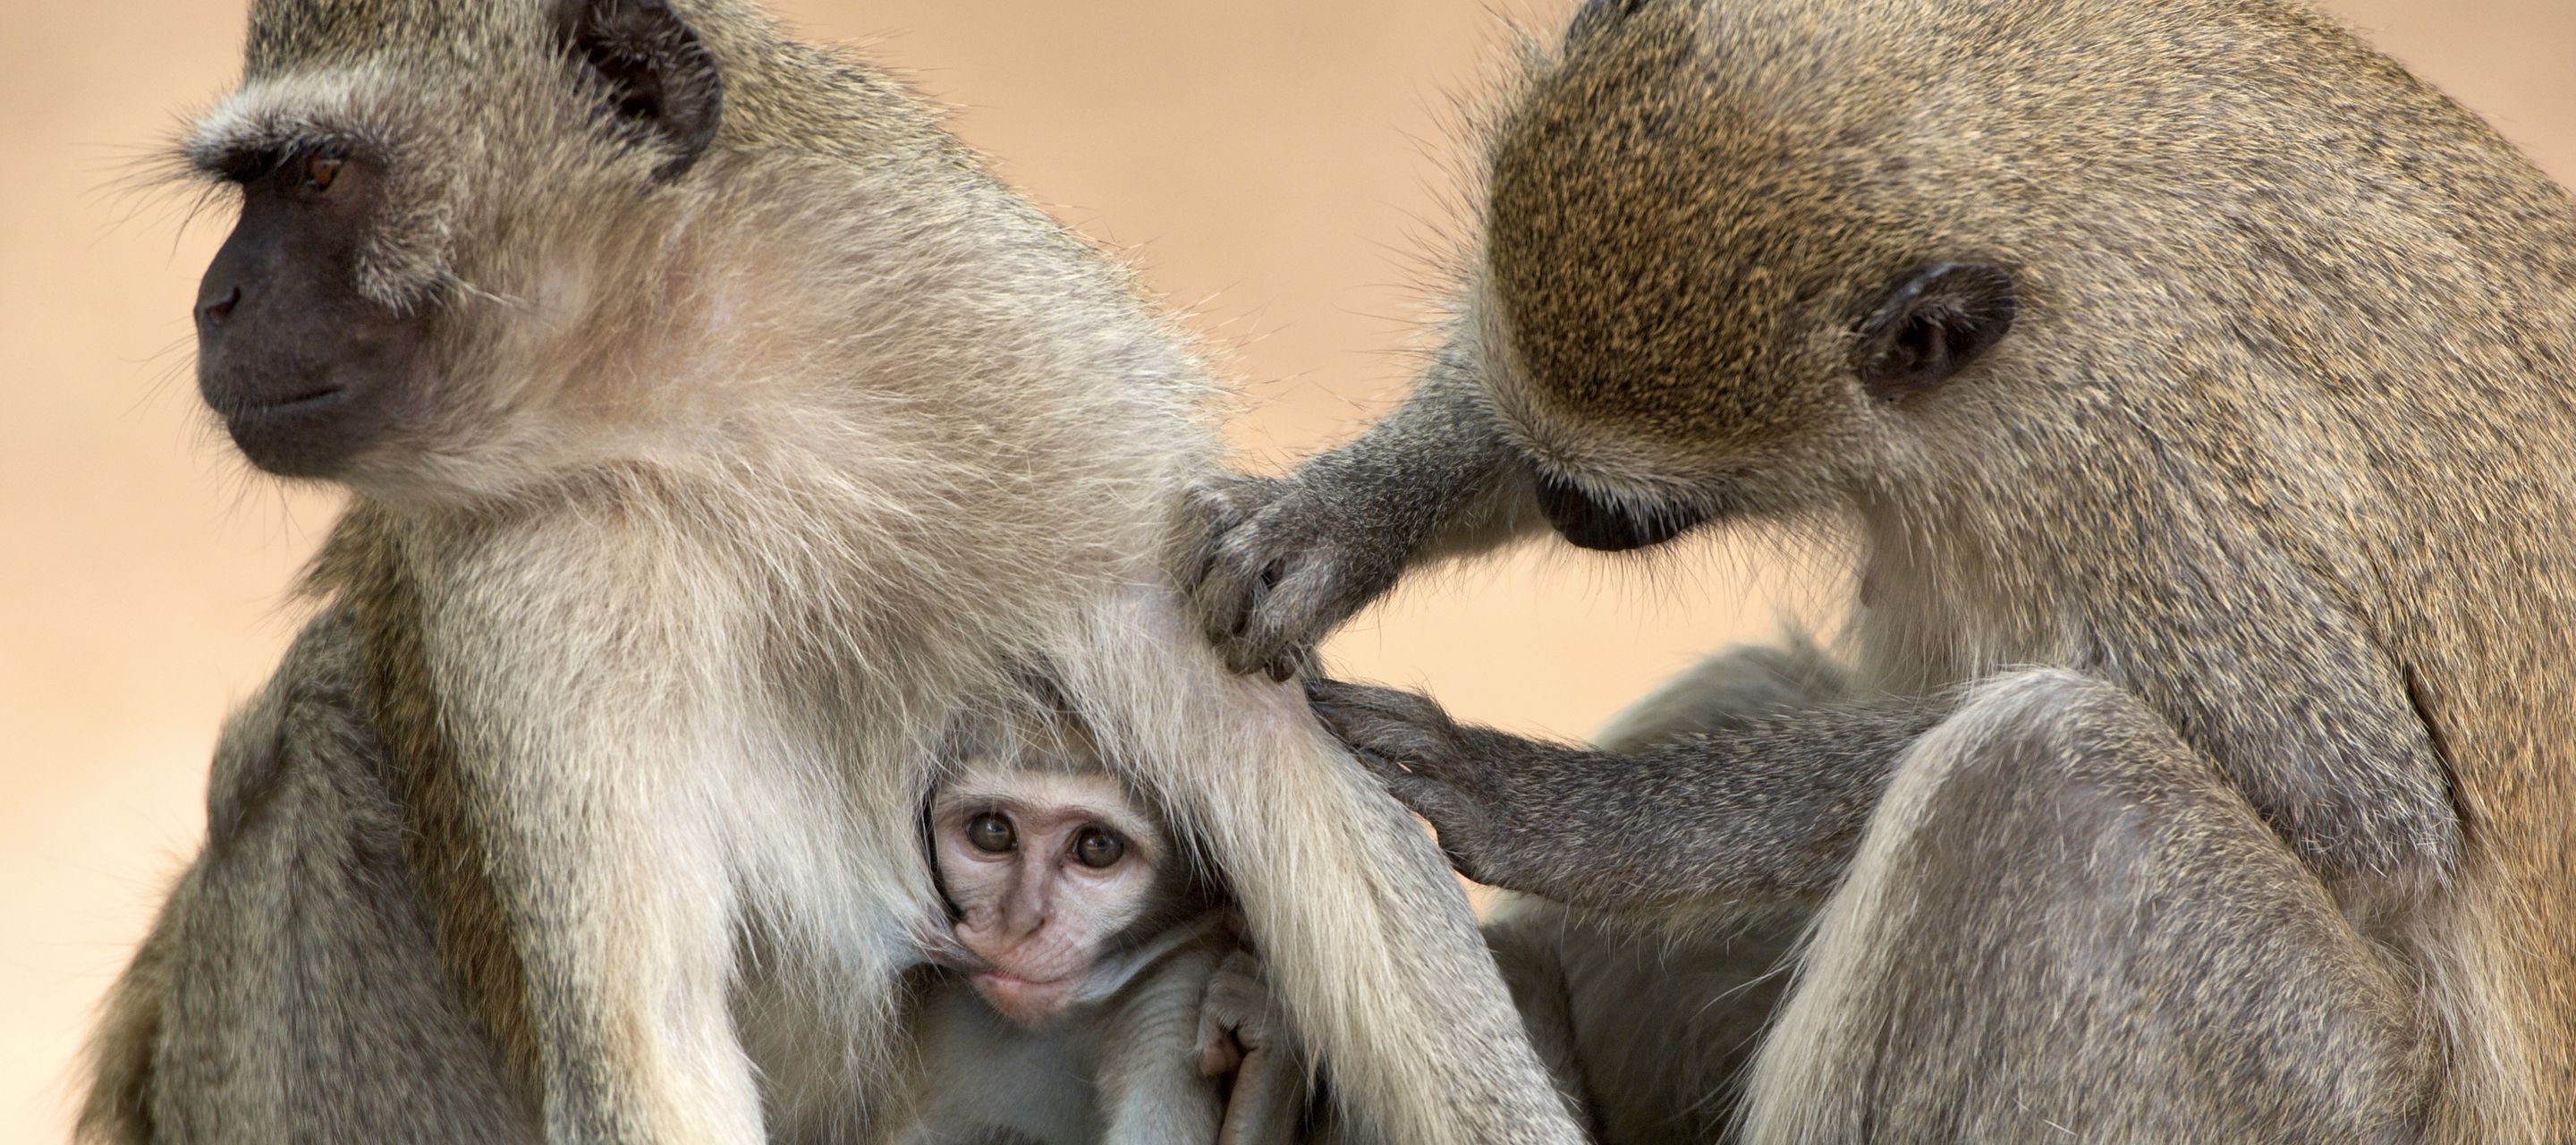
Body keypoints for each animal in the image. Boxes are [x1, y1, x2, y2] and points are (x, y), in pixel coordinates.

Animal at [76, 1, 1583, 1142]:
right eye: (255, 186)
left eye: (317, 177)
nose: (213, 302)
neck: (719, 404)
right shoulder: (527, 589)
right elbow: (651, 1046)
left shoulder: (1041, 388)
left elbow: (1318, 832)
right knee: (306, 747)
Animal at [1192, 0, 2576, 1139]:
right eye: (1559, 483)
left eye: (1610, 512)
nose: (1561, 508)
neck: (2024, 139)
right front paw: (1343, 519)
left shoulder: (2124, 462)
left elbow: (2360, 813)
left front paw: (1560, 812)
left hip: (2316, 1081)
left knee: (2044, 772)